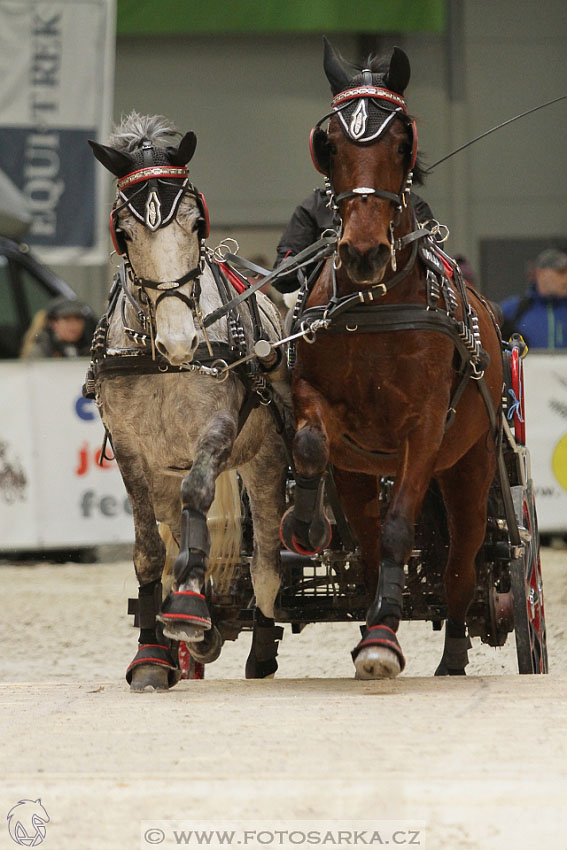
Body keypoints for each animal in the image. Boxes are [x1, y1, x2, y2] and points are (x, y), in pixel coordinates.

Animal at [89, 112, 288, 688]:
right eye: (123, 233)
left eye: (196, 224)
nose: (181, 340)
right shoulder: (131, 451)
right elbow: (149, 550)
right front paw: (151, 654)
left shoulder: (218, 428)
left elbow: (199, 494)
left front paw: (190, 610)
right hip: (162, 476)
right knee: (175, 528)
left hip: (266, 461)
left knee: (266, 561)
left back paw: (256, 646)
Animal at [282, 39, 504, 680]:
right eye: (327, 142)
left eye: (401, 142)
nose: (362, 253)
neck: (374, 305)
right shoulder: (322, 410)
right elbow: (311, 446)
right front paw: (304, 524)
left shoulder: (424, 429)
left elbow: (402, 527)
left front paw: (383, 637)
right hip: (359, 473)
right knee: (366, 539)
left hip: (470, 466)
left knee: (461, 560)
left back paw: (451, 650)